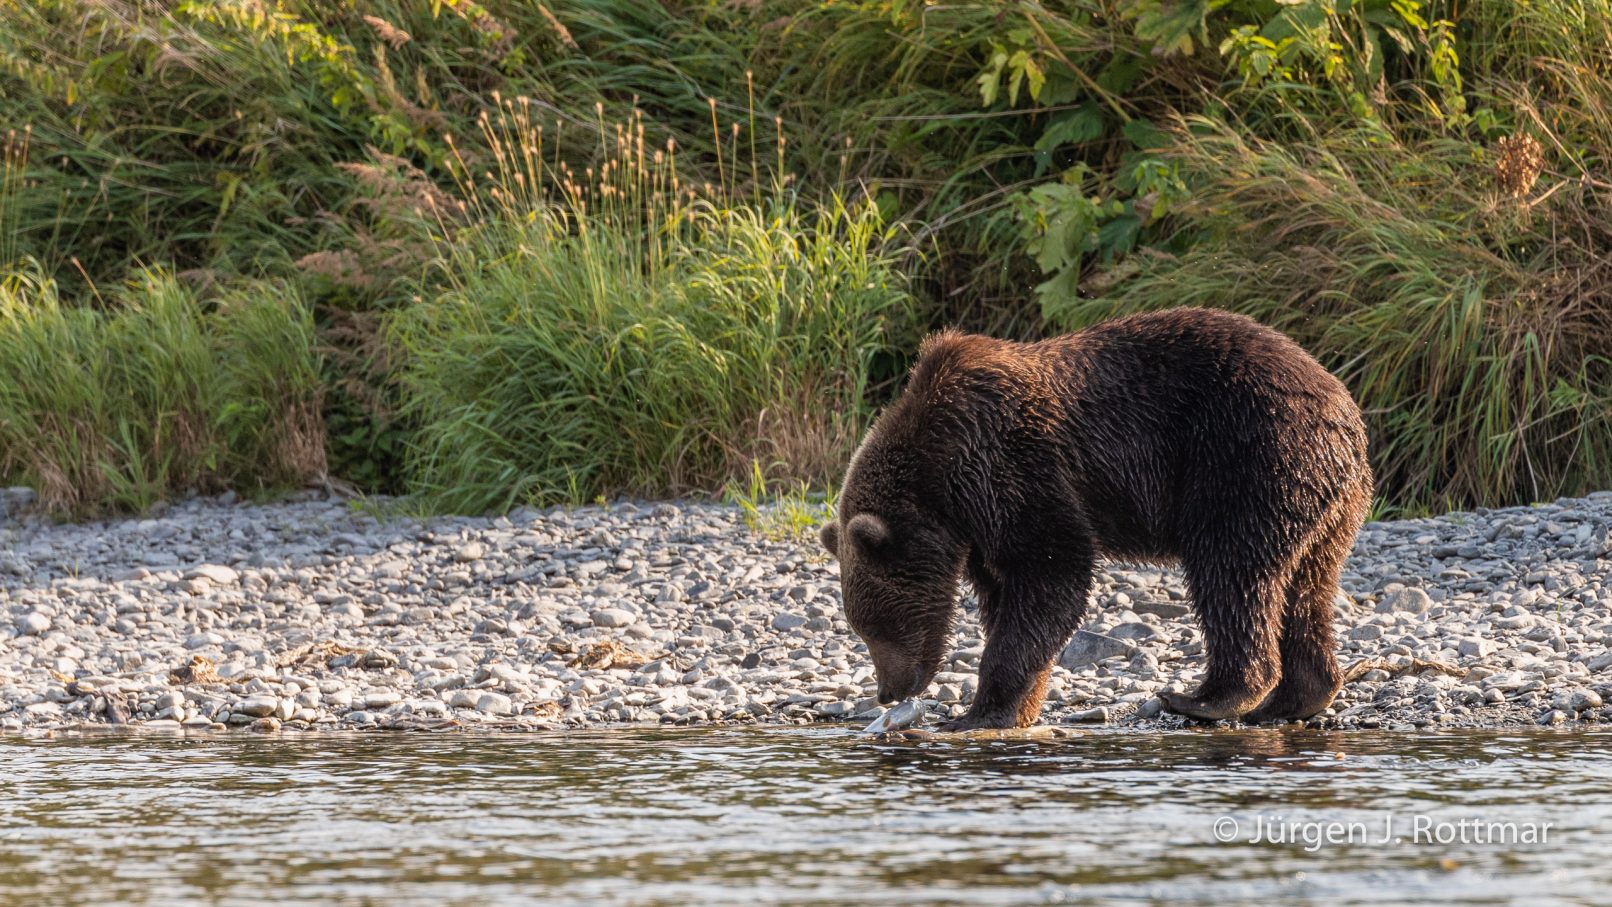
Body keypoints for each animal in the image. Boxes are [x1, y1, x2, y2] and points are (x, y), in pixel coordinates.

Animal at [818, 307, 1372, 729]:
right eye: (863, 629)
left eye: (878, 626)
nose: (888, 692)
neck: (940, 482)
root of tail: (1342, 407)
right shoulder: (979, 522)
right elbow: (1010, 593)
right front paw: (1018, 708)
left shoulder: (1008, 463)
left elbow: (1051, 569)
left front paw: (978, 713)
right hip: (1327, 508)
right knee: (1306, 588)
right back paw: (1296, 698)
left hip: (1245, 460)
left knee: (1232, 574)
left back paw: (1207, 697)